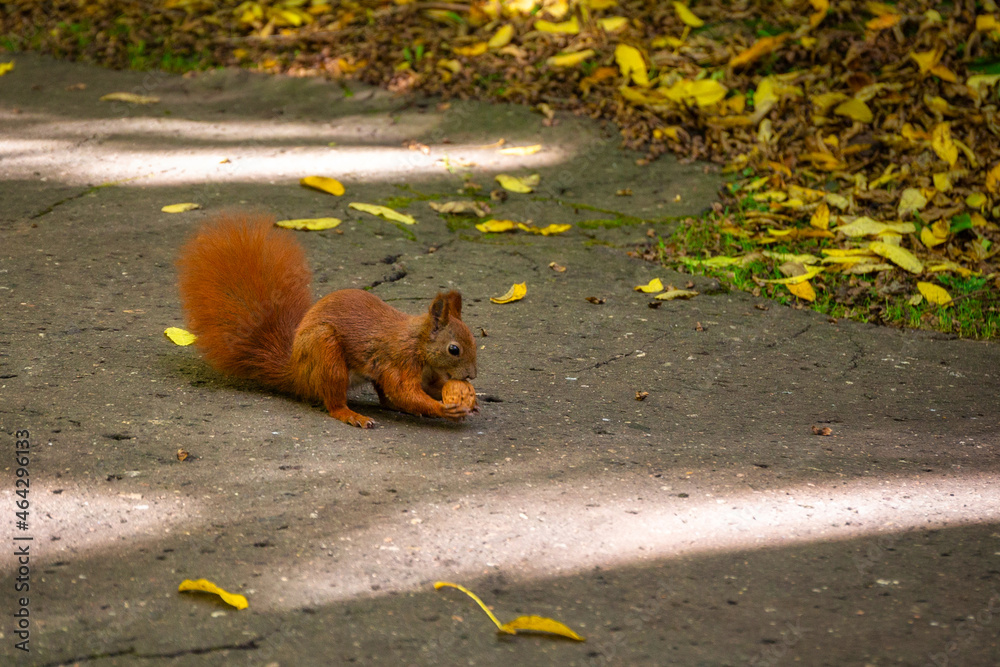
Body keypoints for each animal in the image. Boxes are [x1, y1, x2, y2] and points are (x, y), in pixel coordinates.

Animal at [175, 215, 476, 434]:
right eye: (454, 349)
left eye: (474, 341)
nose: (471, 375)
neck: (420, 344)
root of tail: (296, 370)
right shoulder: (400, 362)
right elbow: (405, 392)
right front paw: (443, 408)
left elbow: (423, 389)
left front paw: (467, 402)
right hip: (326, 352)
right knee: (335, 402)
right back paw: (351, 415)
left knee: (383, 397)